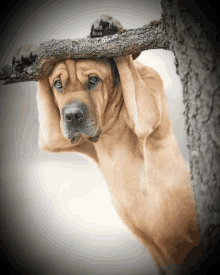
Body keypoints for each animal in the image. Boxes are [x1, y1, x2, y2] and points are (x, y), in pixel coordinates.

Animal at [13, 15, 199, 275]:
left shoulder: (146, 107)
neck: (111, 124)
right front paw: (30, 53)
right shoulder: (54, 136)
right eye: (58, 85)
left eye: (93, 80)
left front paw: (110, 29)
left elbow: (127, 64)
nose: (71, 115)